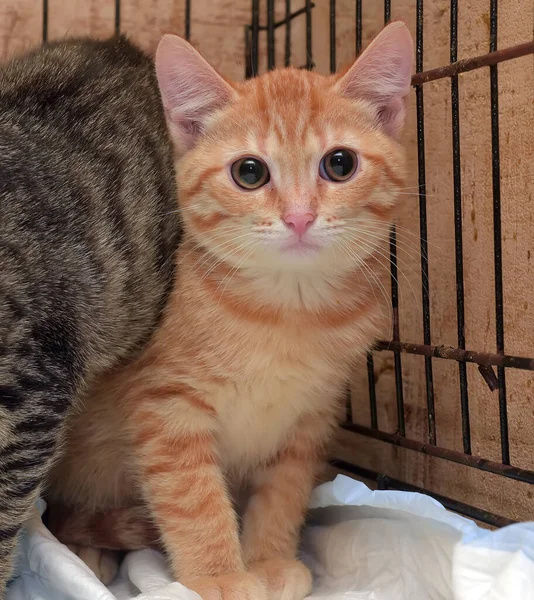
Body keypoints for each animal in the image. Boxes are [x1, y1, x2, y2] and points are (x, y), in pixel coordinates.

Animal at [47, 21, 414, 600]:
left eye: (340, 164)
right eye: (249, 172)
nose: (299, 217)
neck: (289, 313)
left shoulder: (311, 415)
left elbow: (284, 490)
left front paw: (268, 562)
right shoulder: (167, 405)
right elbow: (192, 496)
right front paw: (218, 576)